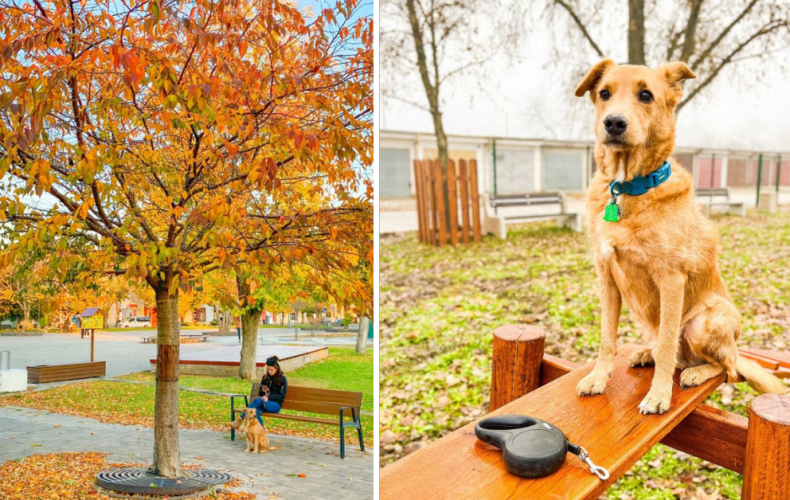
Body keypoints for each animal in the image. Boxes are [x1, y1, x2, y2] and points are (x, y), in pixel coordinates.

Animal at [572, 60, 788, 416]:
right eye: (604, 93)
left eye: (646, 95)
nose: (614, 123)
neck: (629, 188)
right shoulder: (607, 277)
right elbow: (607, 339)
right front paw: (598, 378)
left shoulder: (671, 280)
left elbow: (667, 346)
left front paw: (659, 395)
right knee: (672, 350)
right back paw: (647, 353)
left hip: (705, 322)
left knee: (726, 369)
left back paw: (696, 372)